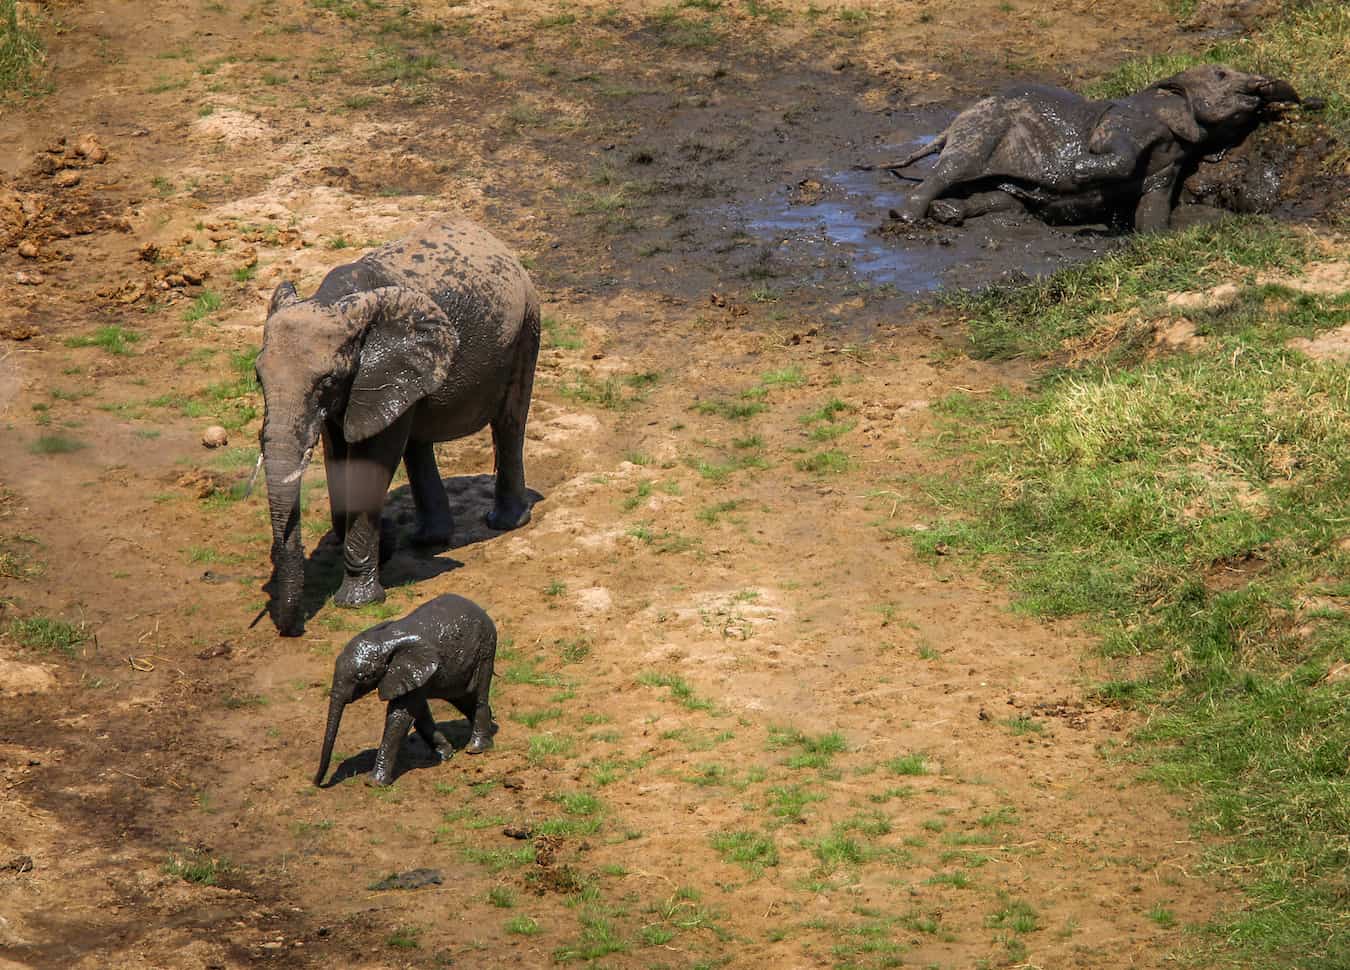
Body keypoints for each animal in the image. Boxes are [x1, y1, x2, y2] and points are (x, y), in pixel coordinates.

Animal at [255, 223, 540, 642]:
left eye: (327, 381)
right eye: (258, 377)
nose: (295, 629)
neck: (333, 301)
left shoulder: (379, 373)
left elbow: (371, 457)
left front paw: (357, 601)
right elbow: (338, 451)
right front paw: (384, 543)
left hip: (526, 330)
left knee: (509, 422)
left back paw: (505, 523)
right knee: (417, 441)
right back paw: (429, 539)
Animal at [313, 590, 499, 787]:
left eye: (362, 677)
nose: (317, 783)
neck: (384, 640)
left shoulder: (410, 670)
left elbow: (400, 717)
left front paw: (374, 783)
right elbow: (419, 714)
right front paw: (446, 754)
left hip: (485, 649)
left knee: (478, 694)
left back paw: (476, 748)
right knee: (462, 696)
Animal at [880, 64, 1301, 232]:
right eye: (1221, 74)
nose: (1273, 91)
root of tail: (950, 125)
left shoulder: (1172, 162)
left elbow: (1153, 206)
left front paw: (1157, 236)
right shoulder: (1132, 119)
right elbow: (1116, 154)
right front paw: (1077, 172)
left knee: (1001, 199)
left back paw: (948, 213)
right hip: (984, 128)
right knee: (954, 168)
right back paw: (906, 216)